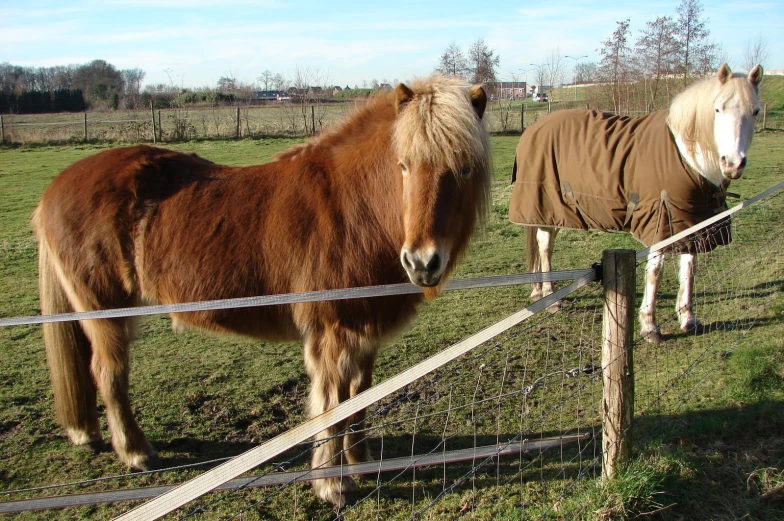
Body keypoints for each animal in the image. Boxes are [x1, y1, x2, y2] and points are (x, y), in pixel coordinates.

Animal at [33, 75, 494, 506]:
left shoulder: (364, 333)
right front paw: (332, 485)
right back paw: (136, 453)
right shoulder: (331, 336)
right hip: (107, 315)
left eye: (465, 169)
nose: (421, 262)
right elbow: (332, 406)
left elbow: (359, 397)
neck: (353, 209)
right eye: (403, 165)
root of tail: (54, 189)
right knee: (109, 375)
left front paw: (360, 463)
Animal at [508, 64, 760, 342]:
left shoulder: (691, 221)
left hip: (552, 212)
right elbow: (655, 272)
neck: (686, 155)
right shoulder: (660, 222)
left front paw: (688, 319)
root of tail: (532, 130)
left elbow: (689, 268)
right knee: (544, 247)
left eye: (755, 111)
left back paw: (538, 291)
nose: (733, 164)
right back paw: (551, 298)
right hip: (546, 207)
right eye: (718, 109)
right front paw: (650, 327)